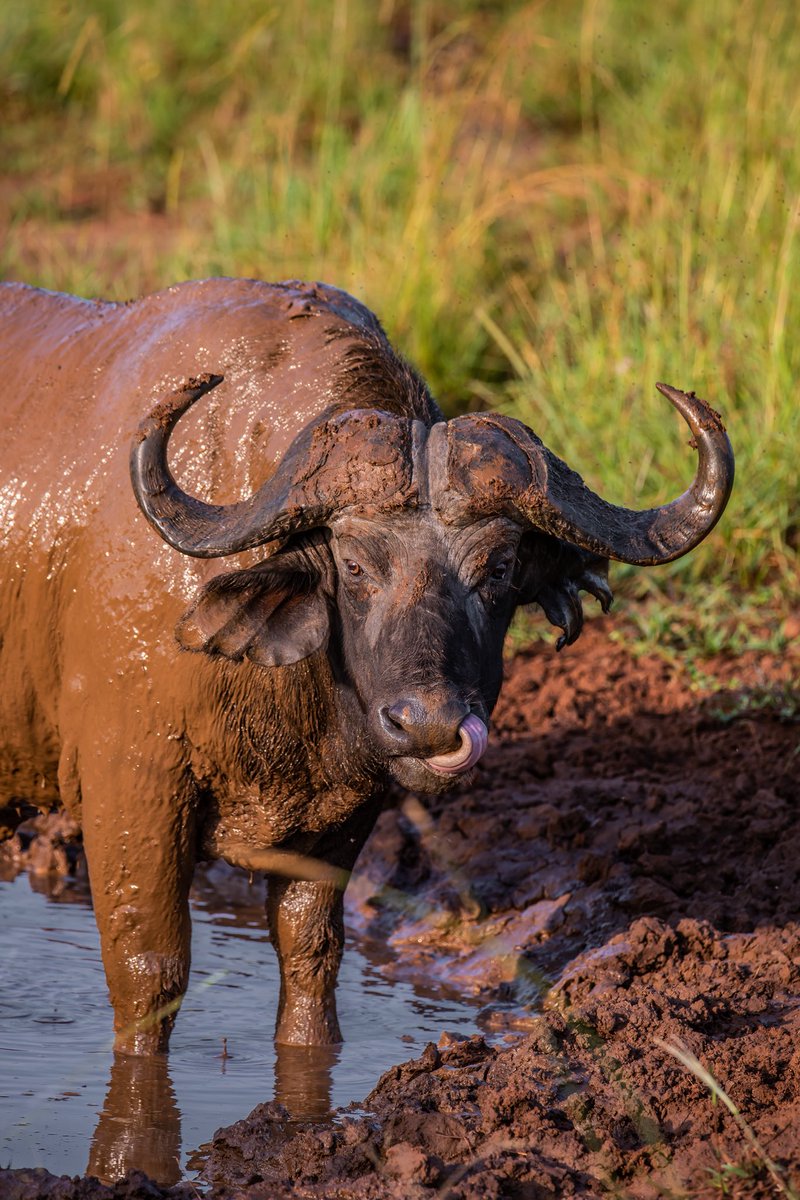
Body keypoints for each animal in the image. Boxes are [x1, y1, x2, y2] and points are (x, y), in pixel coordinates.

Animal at [0, 277, 734, 1055]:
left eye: (501, 568)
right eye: (353, 565)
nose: (431, 726)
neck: (291, 692)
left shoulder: (348, 810)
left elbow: (311, 951)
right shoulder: (132, 788)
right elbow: (150, 968)